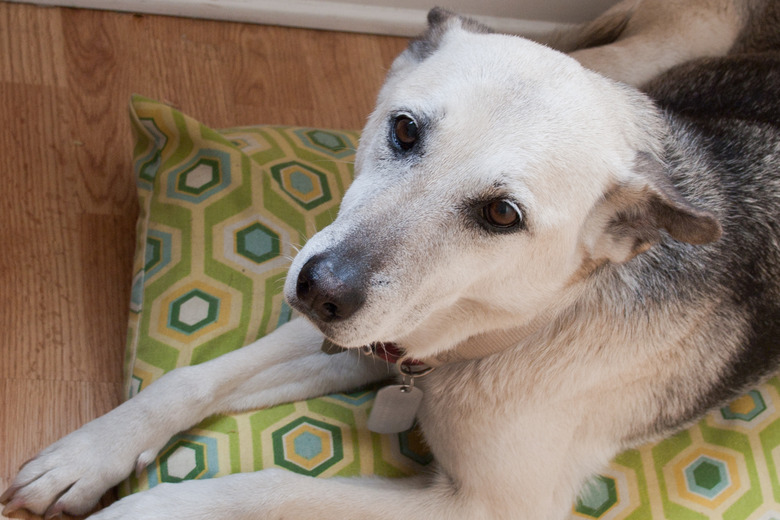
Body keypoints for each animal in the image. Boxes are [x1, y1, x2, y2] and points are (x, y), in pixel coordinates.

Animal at [6, 0, 780, 516]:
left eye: (503, 215)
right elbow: (189, 380)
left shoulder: (484, 506)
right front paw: (87, 456)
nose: (319, 290)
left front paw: (147, 509)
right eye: (404, 130)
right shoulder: (359, 338)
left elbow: (279, 486)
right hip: (635, 65)